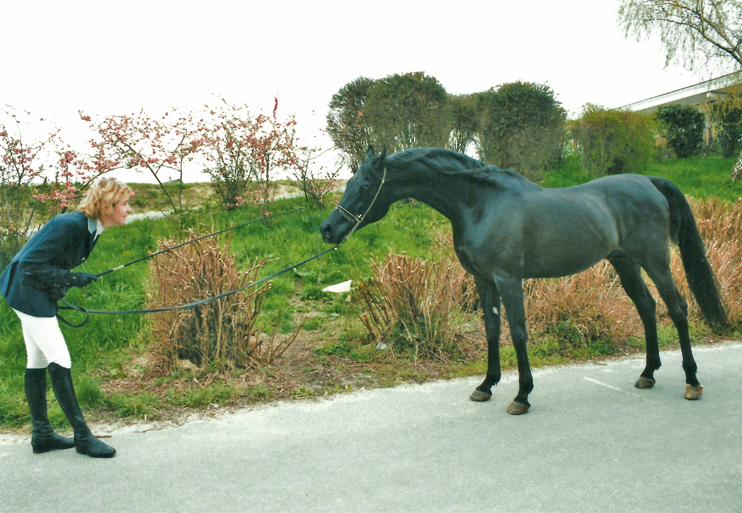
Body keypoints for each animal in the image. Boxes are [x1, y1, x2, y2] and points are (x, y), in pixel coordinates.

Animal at [320, 146, 729, 415]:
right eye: (350, 182)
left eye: (364, 186)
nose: (327, 229)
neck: (480, 204)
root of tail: (649, 181)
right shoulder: (483, 281)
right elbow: (491, 330)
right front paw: (486, 386)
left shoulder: (508, 279)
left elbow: (517, 332)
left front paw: (522, 395)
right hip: (624, 262)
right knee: (647, 308)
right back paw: (647, 374)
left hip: (655, 261)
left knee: (677, 308)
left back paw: (692, 382)